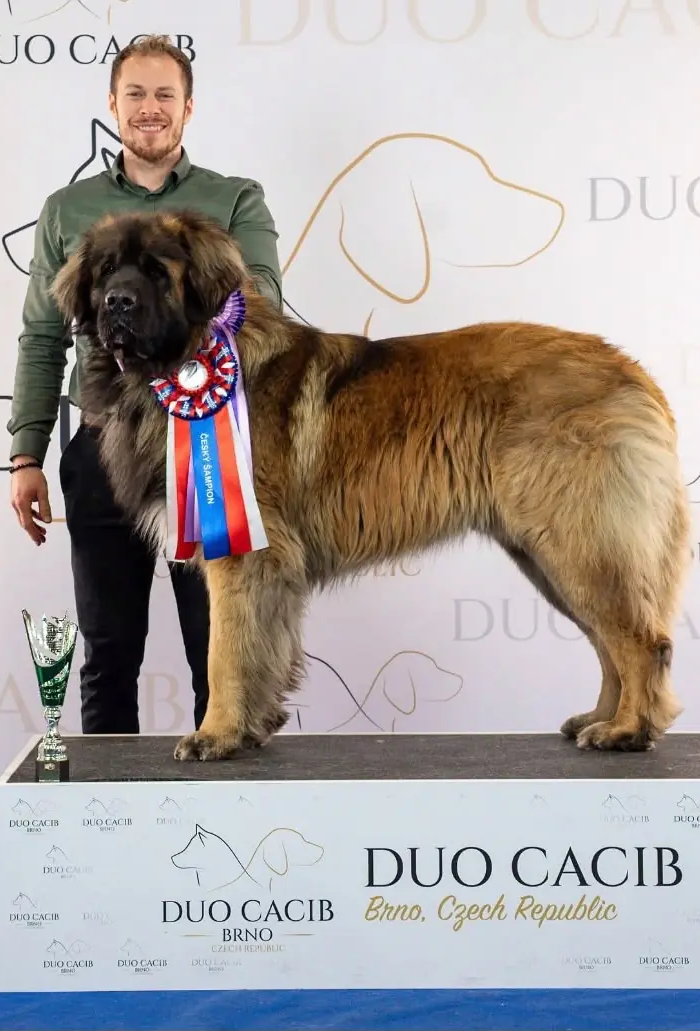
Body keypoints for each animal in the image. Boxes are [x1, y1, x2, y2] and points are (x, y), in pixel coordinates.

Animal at [49, 208, 692, 761]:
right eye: (106, 271)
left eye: (157, 270)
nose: (118, 303)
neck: (188, 360)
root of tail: (634, 372)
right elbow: (261, 647)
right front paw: (252, 727)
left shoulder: (245, 553)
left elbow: (224, 654)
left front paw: (217, 734)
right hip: (546, 552)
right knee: (610, 641)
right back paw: (601, 718)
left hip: (572, 541)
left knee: (640, 640)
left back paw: (627, 730)